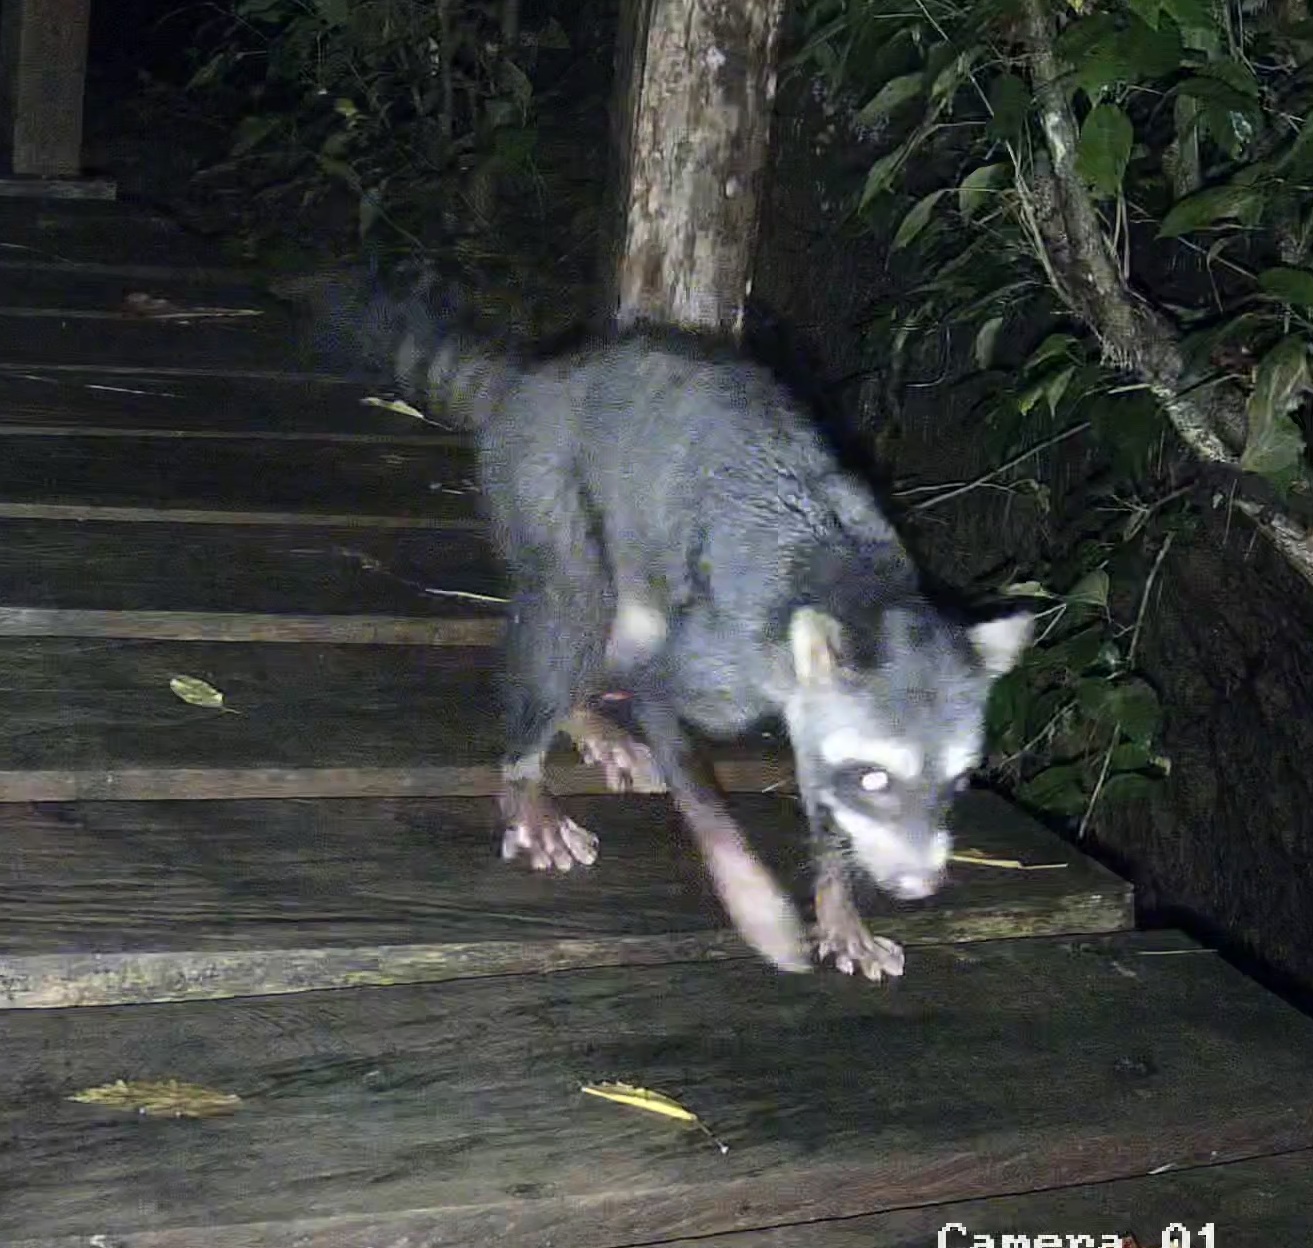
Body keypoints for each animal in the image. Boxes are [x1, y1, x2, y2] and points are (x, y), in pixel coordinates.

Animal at [289, 268, 1033, 979]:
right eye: (875, 778)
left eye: (958, 783)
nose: (916, 886)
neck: (862, 586)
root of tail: (535, 376)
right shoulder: (732, 654)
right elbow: (672, 725)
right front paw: (752, 895)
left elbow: (812, 780)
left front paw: (838, 895)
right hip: (540, 474)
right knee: (576, 603)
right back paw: (531, 758)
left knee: (629, 626)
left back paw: (585, 705)